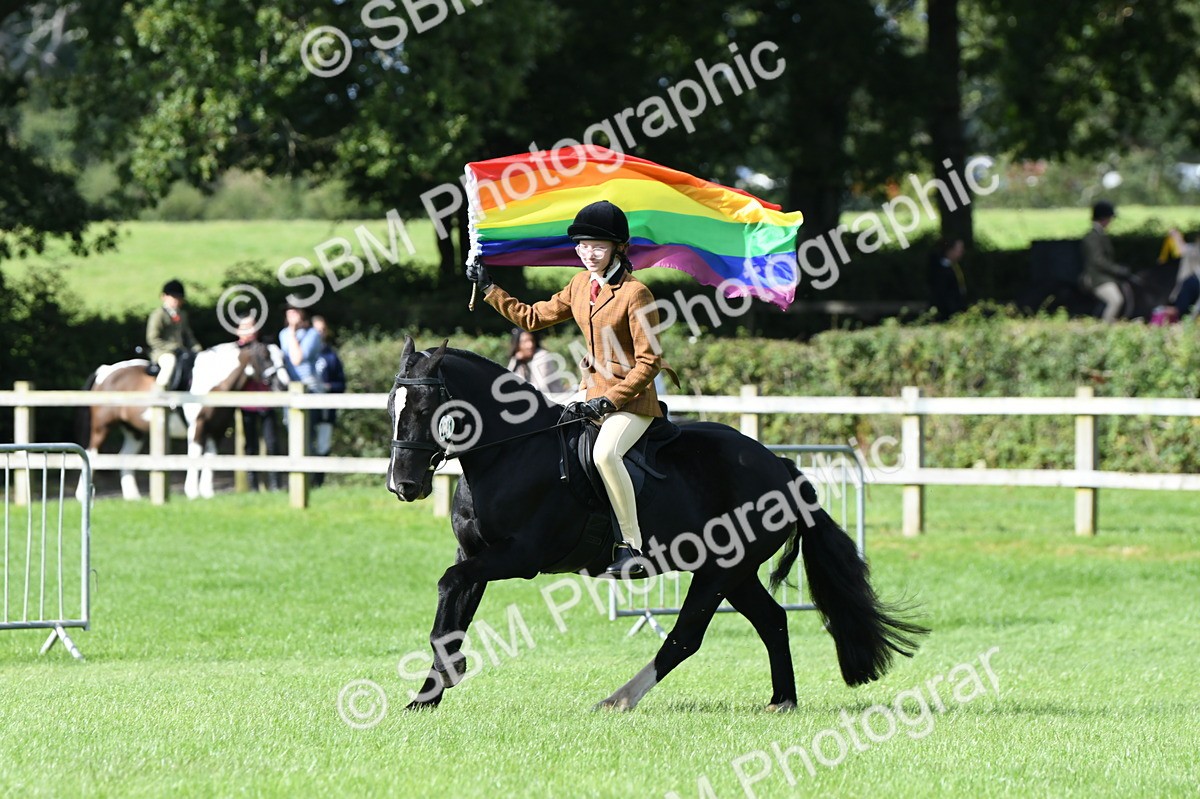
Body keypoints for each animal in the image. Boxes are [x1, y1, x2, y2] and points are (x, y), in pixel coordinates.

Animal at [76, 341, 288, 501]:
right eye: (265, 356)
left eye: (281, 357)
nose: (283, 385)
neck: (213, 383)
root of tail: (105, 371)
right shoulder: (197, 427)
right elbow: (194, 455)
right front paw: (192, 492)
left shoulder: (217, 431)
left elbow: (210, 457)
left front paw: (207, 492)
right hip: (102, 428)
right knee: (91, 453)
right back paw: (82, 494)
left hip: (134, 432)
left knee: (124, 456)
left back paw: (132, 497)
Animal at [386, 337, 927, 712]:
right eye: (391, 406)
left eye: (424, 407)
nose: (403, 485)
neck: (510, 452)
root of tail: (781, 467)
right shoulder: (476, 555)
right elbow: (451, 610)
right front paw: (427, 697)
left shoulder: (520, 557)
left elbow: (449, 585)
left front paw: (446, 678)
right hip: (734, 573)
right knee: (773, 620)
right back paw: (782, 701)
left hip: (718, 572)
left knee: (685, 638)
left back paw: (618, 700)